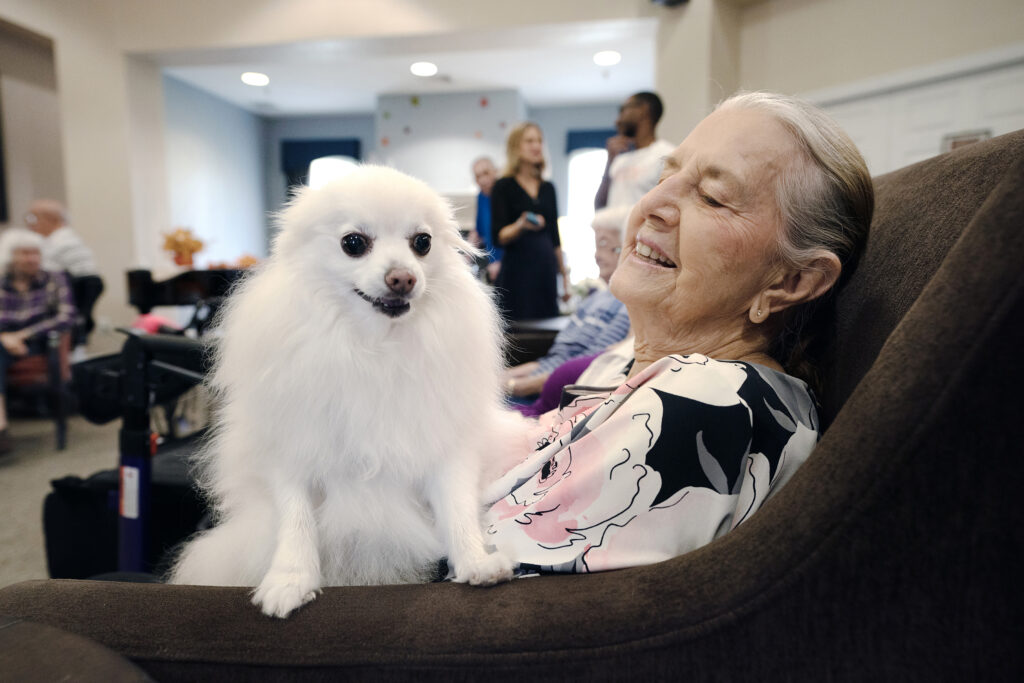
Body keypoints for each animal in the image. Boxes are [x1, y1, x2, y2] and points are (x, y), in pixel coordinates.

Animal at [171, 165, 524, 618]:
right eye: (353, 244)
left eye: (422, 243)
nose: (403, 277)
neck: (372, 345)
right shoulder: (291, 454)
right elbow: (296, 521)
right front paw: (290, 579)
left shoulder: (446, 449)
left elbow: (457, 508)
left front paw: (475, 561)